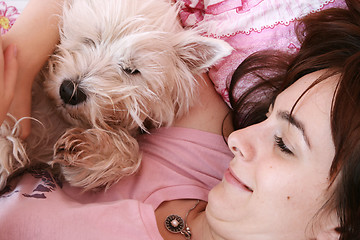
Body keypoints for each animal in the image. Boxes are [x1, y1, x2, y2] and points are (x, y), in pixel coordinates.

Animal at [0, 0, 232, 191]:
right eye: (91, 40)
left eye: (131, 70)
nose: (69, 91)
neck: (58, 118)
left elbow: (132, 157)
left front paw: (91, 149)